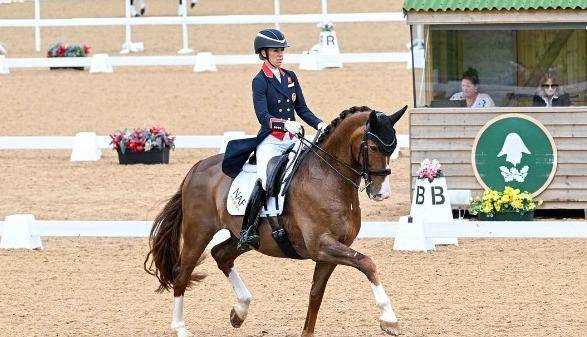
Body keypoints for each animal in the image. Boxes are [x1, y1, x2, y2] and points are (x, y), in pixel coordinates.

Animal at [144, 105, 406, 336]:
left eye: (393, 148)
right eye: (373, 146)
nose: (382, 193)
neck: (328, 178)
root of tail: (197, 168)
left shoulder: (331, 251)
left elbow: (316, 294)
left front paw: (307, 332)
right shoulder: (321, 245)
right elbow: (367, 263)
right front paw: (389, 319)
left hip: (243, 237)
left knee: (221, 254)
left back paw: (240, 311)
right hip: (198, 232)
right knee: (182, 273)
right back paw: (180, 328)